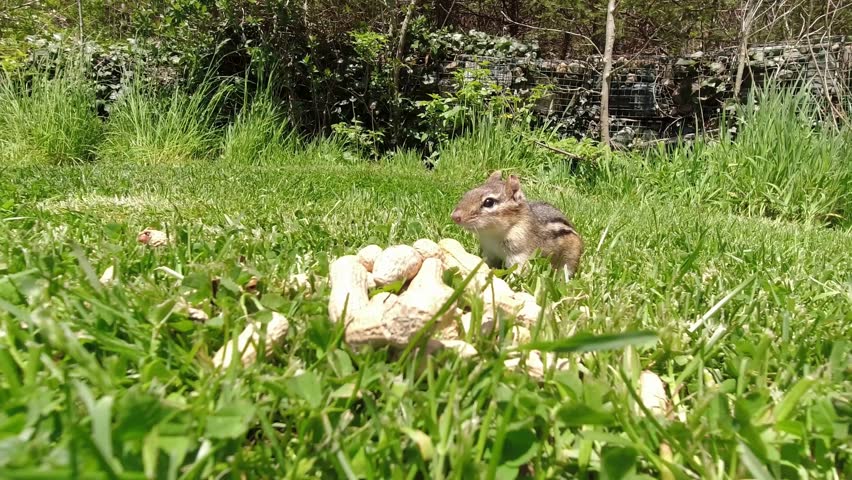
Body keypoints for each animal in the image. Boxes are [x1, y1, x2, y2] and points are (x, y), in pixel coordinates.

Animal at [450, 171, 584, 280]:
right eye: (468, 193)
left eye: (489, 202)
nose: (455, 216)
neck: (493, 235)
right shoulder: (489, 252)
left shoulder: (519, 255)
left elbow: (518, 272)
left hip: (570, 259)